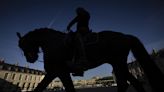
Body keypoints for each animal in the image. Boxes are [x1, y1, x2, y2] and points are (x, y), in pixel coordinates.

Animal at [17, 27, 164, 92]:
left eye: (24, 45)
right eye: (21, 47)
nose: (30, 59)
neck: (53, 43)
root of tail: (125, 36)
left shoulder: (58, 72)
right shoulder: (57, 73)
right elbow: (43, 88)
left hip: (118, 63)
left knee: (126, 84)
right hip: (118, 64)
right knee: (132, 83)